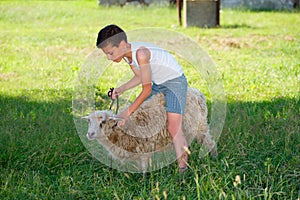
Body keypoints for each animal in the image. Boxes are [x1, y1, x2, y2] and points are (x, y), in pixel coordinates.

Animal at [82, 87, 218, 172]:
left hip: (200, 126)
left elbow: (143, 169)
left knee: (209, 141)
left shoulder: (144, 150)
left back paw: (214, 157)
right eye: (89, 121)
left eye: (103, 122)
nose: (90, 134)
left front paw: (144, 183)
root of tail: (198, 93)